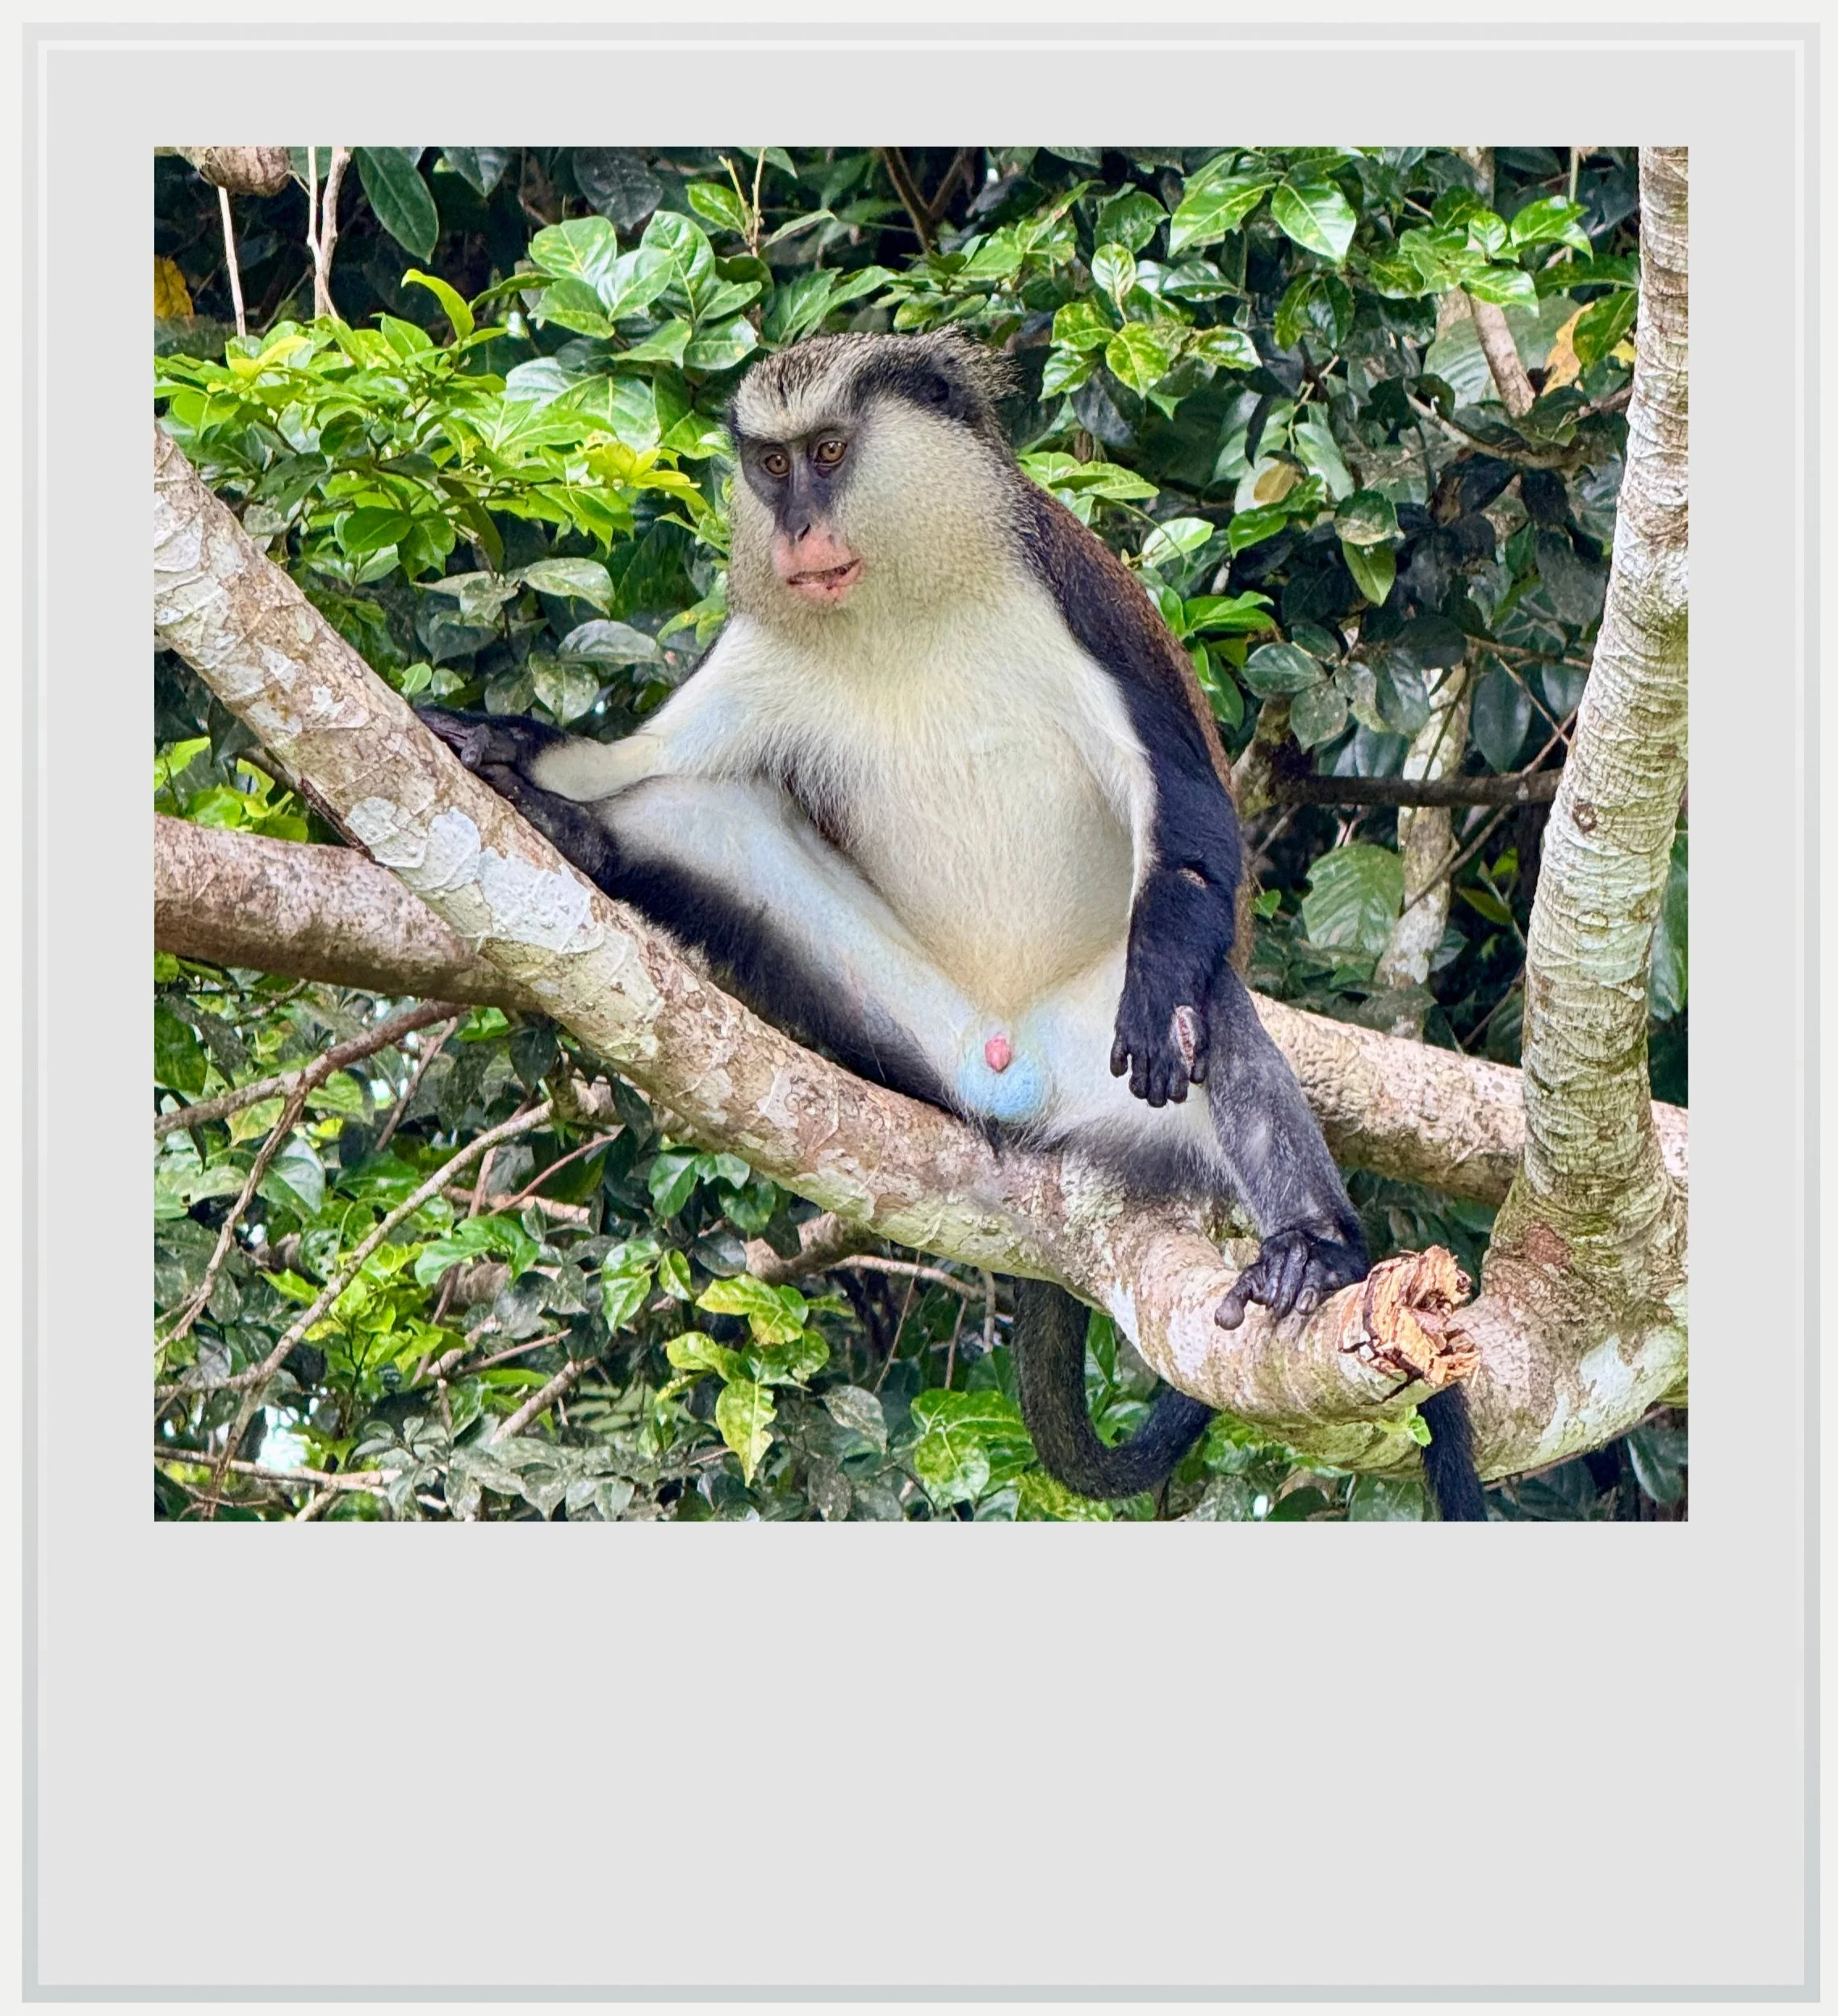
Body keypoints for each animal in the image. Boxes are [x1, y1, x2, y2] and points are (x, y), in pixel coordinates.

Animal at [419, 328, 1487, 1522]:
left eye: (829, 452)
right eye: (771, 466)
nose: (795, 533)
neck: (900, 608)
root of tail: (1013, 1064)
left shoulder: (1075, 604)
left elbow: (1191, 822)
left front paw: (1171, 978)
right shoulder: (761, 648)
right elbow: (630, 760)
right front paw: (506, 749)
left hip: (1109, 1062)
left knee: (1208, 1007)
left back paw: (1313, 1246)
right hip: (902, 1019)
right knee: (698, 810)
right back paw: (578, 837)